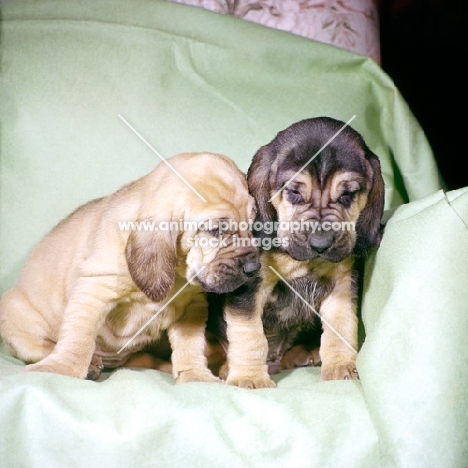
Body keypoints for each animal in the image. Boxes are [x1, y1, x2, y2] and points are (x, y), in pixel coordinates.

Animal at [208, 116, 384, 384]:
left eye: (347, 195)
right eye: (293, 193)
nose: (320, 244)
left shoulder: (342, 282)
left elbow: (341, 324)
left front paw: (341, 364)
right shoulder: (250, 286)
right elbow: (249, 333)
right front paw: (250, 377)